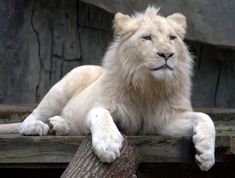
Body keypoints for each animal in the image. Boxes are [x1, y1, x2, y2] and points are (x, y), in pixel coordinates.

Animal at [0, 6, 215, 171]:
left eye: (172, 38)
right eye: (147, 38)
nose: (167, 54)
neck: (148, 85)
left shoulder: (164, 121)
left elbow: (205, 117)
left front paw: (205, 154)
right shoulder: (106, 105)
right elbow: (100, 114)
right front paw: (108, 145)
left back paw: (59, 126)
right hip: (66, 83)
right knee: (29, 119)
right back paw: (39, 127)